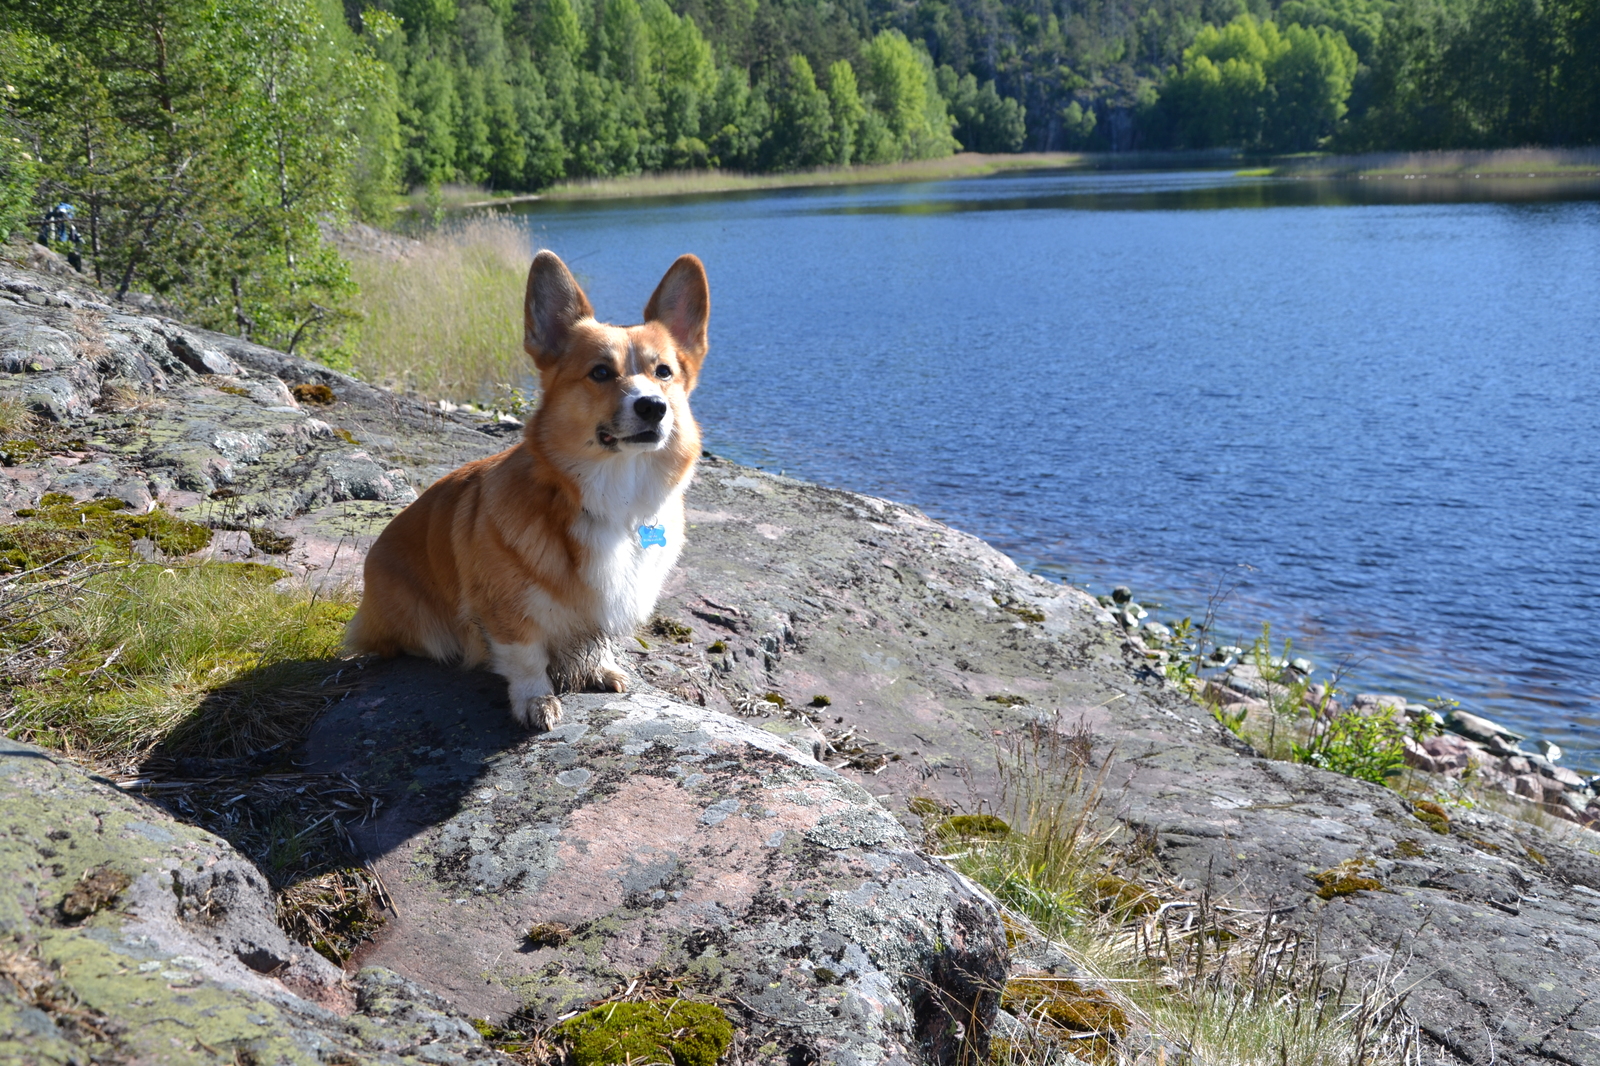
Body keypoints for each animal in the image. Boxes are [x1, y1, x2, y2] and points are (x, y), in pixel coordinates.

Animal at [347, 249, 710, 729]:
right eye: (600, 372)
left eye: (664, 372)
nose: (653, 406)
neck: (618, 496)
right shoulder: (506, 611)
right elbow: (525, 656)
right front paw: (537, 700)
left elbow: (594, 643)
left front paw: (599, 670)